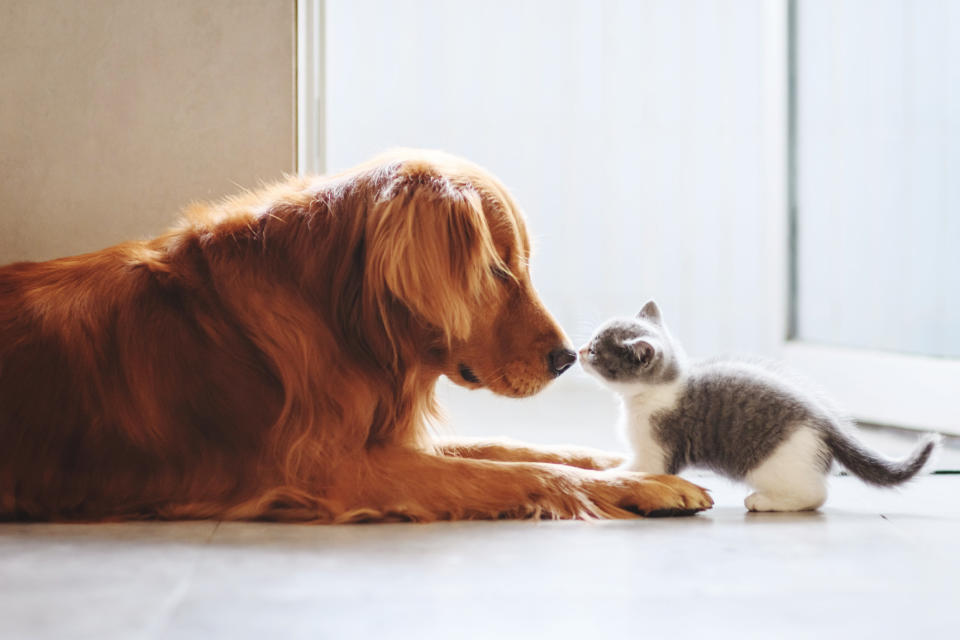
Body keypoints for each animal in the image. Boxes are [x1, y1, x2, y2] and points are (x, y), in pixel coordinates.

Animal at [0, 150, 712, 520]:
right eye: (496, 269)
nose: (568, 358)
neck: (339, 320)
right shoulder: (332, 469)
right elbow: (518, 473)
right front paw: (641, 487)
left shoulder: (382, 439)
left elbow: (516, 449)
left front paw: (624, 465)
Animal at [576, 302, 936, 516]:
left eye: (595, 350)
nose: (578, 350)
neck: (651, 394)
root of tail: (825, 420)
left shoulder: (658, 448)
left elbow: (638, 470)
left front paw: (604, 476)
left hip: (772, 462)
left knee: (814, 494)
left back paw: (764, 501)